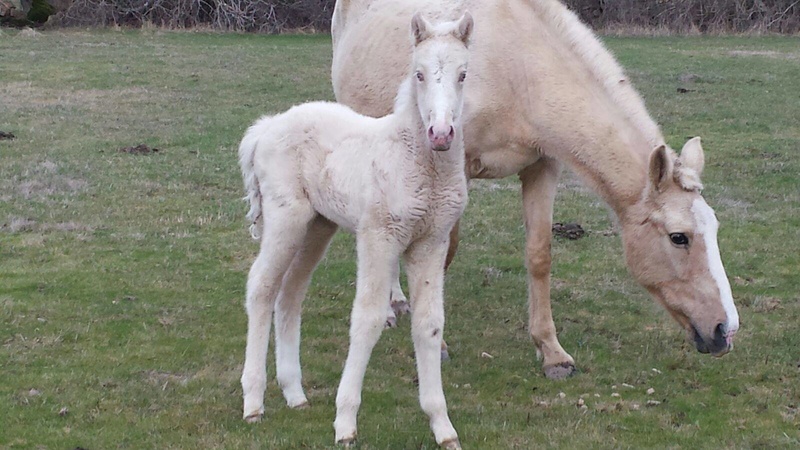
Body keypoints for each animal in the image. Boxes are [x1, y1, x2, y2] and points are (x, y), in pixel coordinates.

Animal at [238, 12, 476, 448]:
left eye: (463, 74)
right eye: (418, 74)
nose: (440, 134)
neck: (416, 162)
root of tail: (264, 128)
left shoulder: (430, 242)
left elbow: (429, 325)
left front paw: (442, 426)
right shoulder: (378, 237)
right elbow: (367, 319)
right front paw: (345, 422)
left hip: (318, 226)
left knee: (290, 294)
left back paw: (294, 393)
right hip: (286, 218)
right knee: (261, 287)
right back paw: (254, 401)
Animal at [330, 0, 736, 380]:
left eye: (714, 229)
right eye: (678, 237)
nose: (725, 330)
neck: (518, 71)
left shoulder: (543, 167)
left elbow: (540, 256)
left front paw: (552, 353)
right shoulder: (455, 168)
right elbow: (444, 254)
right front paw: (438, 343)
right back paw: (391, 307)